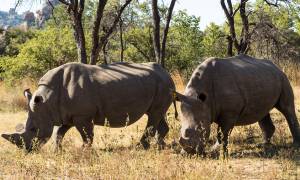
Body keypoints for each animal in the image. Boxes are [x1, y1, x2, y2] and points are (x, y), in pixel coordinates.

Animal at [1, 62, 177, 152]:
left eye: (33, 129)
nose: (27, 150)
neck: (47, 100)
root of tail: (166, 73)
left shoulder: (82, 116)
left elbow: (87, 134)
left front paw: (84, 149)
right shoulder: (67, 115)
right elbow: (59, 132)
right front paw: (58, 151)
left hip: (163, 84)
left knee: (154, 115)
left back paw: (141, 147)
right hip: (160, 85)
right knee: (157, 114)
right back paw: (161, 147)